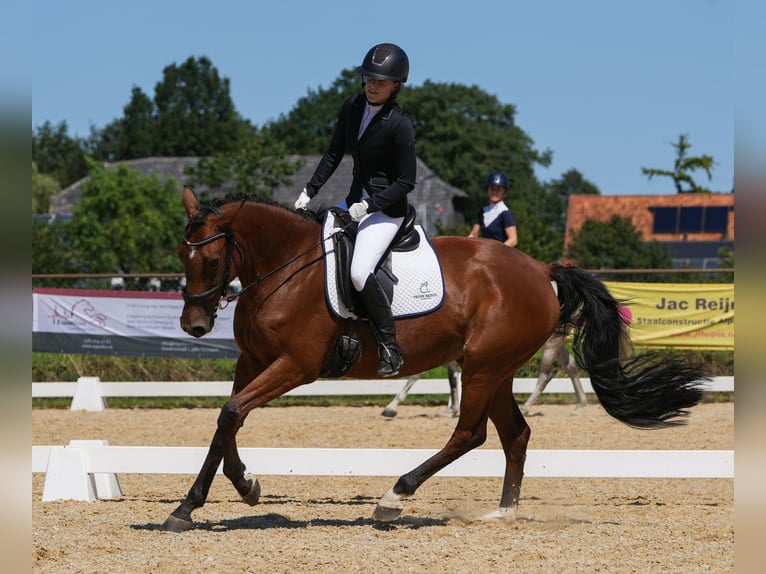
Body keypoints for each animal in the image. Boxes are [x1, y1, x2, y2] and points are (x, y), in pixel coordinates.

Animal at [162, 190, 708, 536]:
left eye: (212, 260)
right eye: (181, 256)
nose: (194, 325)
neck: (286, 269)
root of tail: (542, 269)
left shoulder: (297, 364)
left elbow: (232, 412)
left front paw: (201, 501)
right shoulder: (253, 362)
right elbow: (228, 419)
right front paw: (230, 490)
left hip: (484, 367)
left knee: (471, 434)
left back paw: (393, 499)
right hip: (495, 369)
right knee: (516, 434)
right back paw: (502, 514)